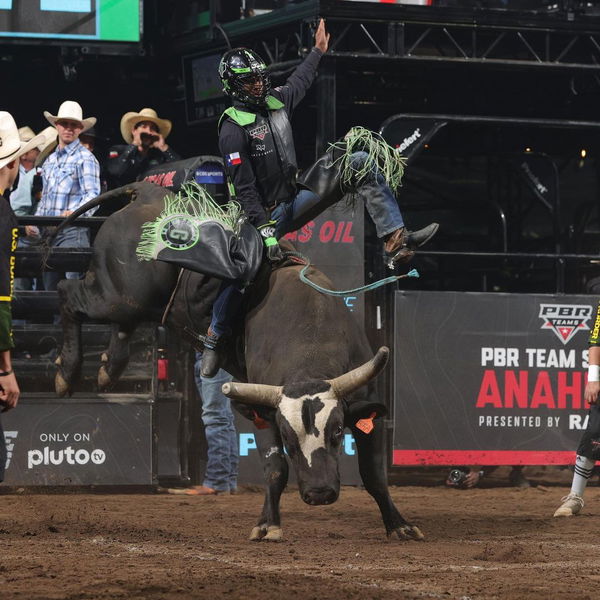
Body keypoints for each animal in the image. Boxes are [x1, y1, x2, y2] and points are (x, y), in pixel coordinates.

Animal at [54, 180, 424, 540]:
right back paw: (67, 372)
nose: (319, 493)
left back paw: (108, 368)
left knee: (115, 323)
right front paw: (267, 525)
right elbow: (275, 470)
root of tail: (149, 192)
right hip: (117, 293)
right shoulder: (263, 412)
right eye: (287, 439)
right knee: (67, 294)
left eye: (336, 432)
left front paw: (399, 525)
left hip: (129, 300)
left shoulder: (364, 406)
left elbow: (373, 473)